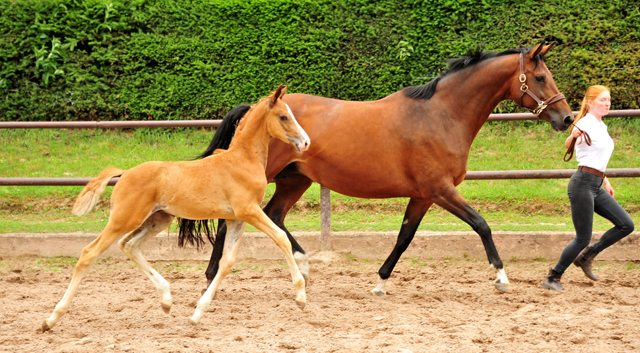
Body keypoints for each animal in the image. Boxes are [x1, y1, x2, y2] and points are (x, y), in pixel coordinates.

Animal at [40, 84, 310, 332]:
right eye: (283, 116)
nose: (306, 142)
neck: (242, 159)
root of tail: (124, 173)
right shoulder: (249, 211)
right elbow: (281, 238)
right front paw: (300, 296)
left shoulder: (236, 219)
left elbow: (227, 262)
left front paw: (197, 313)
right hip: (123, 220)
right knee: (89, 252)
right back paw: (51, 318)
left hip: (158, 220)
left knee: (129, 245)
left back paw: (167, 300)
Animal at [179, 42, 568, 294]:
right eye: (540, 78)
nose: (565, 118)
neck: (441, 115)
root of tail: (257, 108)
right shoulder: (441, 189)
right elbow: (481, 224)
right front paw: (501, 276)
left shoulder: (424, 195)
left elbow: (404, 237)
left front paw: (381, 281)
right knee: (236, 218)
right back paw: (213, 275)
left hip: (295, 180)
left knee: (274, 215)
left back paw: (302, 262)